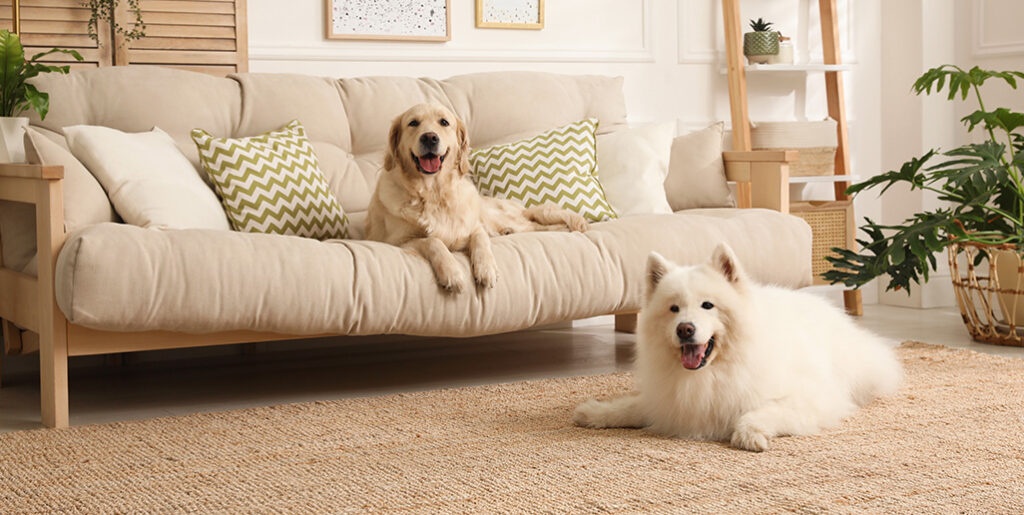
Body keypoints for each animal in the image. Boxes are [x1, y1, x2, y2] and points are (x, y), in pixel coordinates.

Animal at [577, 244, 905, 450]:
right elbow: (630, 407)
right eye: (673, 309)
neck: (711, 373)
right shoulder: (668, 402)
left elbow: (760, 412)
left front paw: (749, 434)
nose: (685, 329)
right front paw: (594, 413)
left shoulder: (809, 399)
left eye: (707, 305)